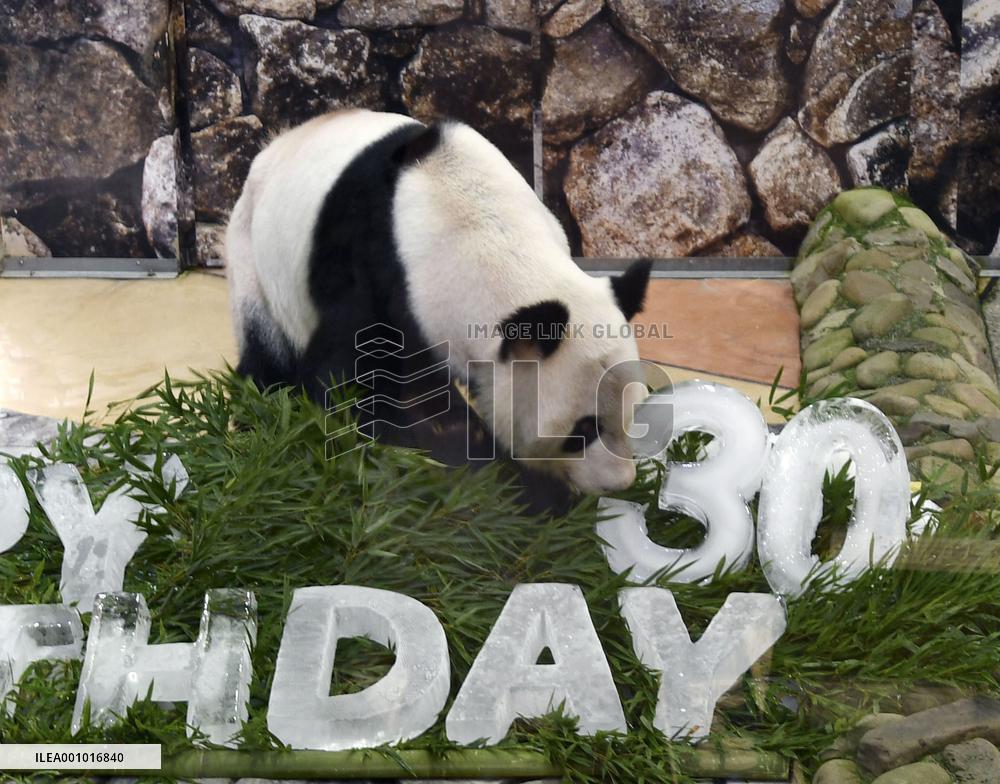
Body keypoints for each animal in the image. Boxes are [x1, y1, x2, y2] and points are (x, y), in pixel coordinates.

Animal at [225, 109, 652, 496]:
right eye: (584, 429)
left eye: (633, 413)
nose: (619, 483)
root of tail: (275, 144)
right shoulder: (373, 268)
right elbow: (346, 382)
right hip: (252, 255)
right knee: (265, 355)